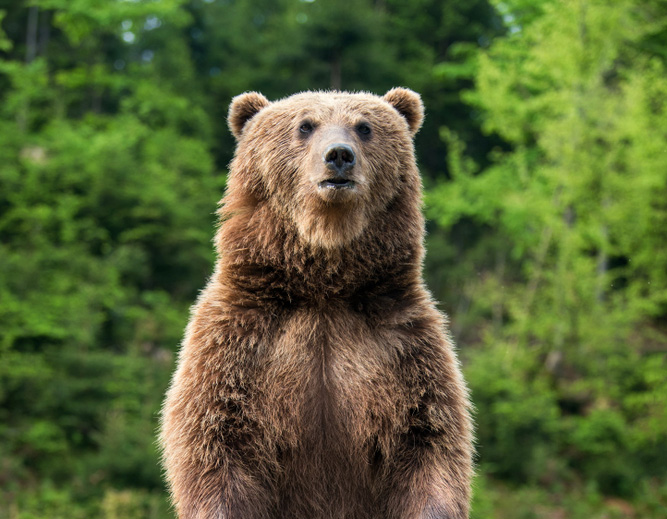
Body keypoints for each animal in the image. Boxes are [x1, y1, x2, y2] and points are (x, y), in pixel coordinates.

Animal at [159, 88, 473, 519]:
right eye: (305, 125)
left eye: (364, 127)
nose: (339, 155)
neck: (323, 285)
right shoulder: (239, 341)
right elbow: (216, 442)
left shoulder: (403, 346)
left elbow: (429, 441)